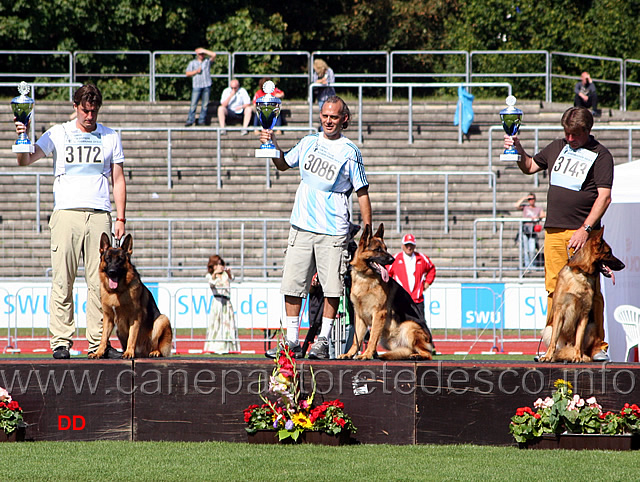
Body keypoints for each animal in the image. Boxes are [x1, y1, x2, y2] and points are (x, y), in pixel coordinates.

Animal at [338, 224, 432, 360]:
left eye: (385, 248)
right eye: (377, 249)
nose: (392, 259)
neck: (365, 278)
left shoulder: (379, 313)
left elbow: (372, 337)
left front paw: (367, 354)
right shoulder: (360, 315)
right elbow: (357, 339)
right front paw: (349, 354)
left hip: (409, 326)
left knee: (428, 354)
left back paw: (417, 356)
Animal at [540, 229, 624, 362]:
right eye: (608, 253)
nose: (623, 265)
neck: (581, 274)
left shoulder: (584, 314)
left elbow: (578, 340)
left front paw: (577, 357)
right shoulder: (559, 311)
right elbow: (554, 340)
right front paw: (548, 356)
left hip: (591, 326)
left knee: (583, 347)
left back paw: (584, 356)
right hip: (548, 329)